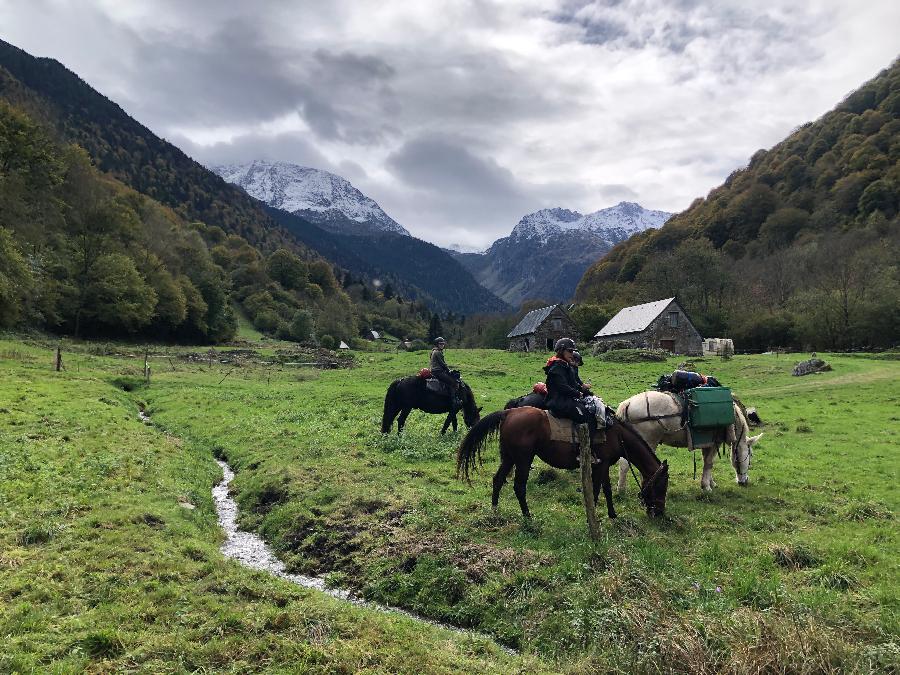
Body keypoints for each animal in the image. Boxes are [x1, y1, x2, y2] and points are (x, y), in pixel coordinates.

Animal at [458, 406, 668, 524]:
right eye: (661, 486)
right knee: (519, 486)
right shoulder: (600, 466)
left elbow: (607, 490)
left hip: (509, 458)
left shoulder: (604, 465)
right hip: (523, 459)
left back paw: (495, 510)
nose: (659, 513)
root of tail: (508, 412)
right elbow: (596, 490)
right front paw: (593, 517)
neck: (617, 435)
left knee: (498, 480)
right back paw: (527, 516)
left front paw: (612, 514)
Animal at [616, 390, 764, 492]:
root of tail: (628, 403)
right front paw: (706, 487)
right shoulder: (714, 443)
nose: (744, 481)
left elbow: (706, 463)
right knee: (628, 464)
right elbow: (709, 463)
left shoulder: (707, 444)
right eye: (750, 455)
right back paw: (624, 490)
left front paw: (711, 483)